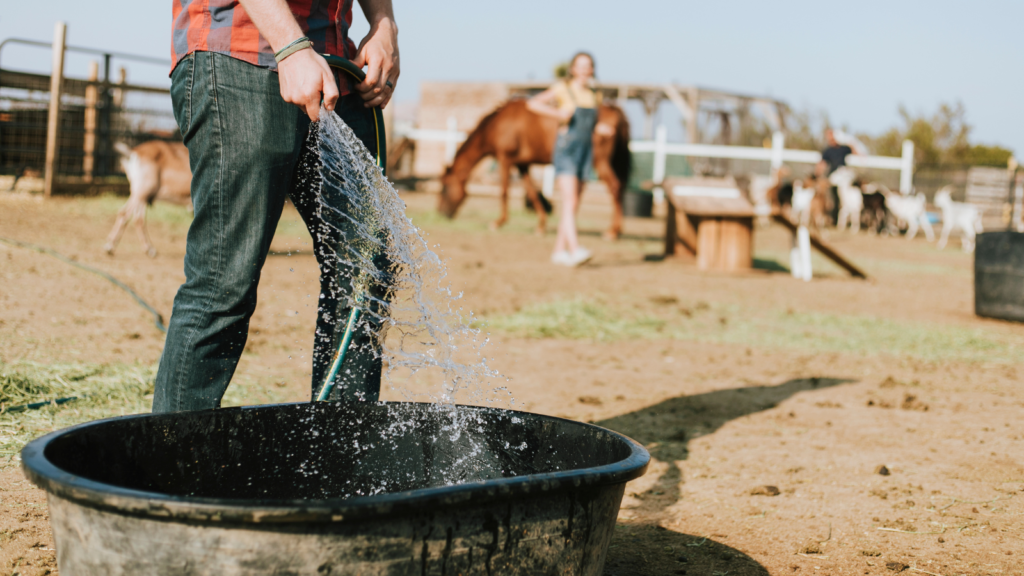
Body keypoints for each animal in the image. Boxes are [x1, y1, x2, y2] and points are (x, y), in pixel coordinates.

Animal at [434, 99, 626, 236]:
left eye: (444, 187)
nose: (441, 213)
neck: (498, 124)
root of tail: (615, 110)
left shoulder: (505, 159)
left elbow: (504, 191)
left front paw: (498, 222)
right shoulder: (522, 165)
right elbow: (532, 192)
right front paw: (541, 226)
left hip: (599, 162)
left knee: (615, 187)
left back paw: (612, 232)